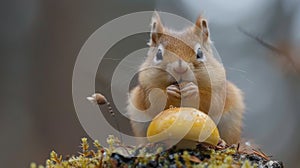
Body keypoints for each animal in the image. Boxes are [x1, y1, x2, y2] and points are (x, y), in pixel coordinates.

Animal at [126, 12, 244, 144]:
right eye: (158, 54)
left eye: (200, 53)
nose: (180, 69)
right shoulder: (146, 89)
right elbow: (154, 103)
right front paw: (169, 92)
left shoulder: (218, 89)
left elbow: (211, 102)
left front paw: (193, 91)